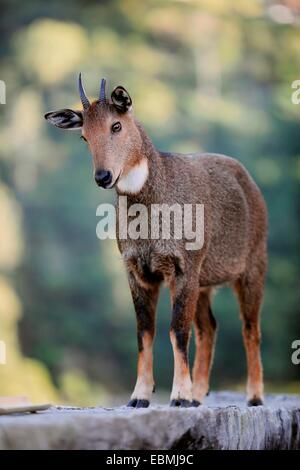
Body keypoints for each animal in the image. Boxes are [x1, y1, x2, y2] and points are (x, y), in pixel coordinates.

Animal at [45, 75, 268, 406]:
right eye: (83, 136)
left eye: (116, 125)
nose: (103, 176)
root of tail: (250, 182)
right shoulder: (137, 269)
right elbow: (145, 331)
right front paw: (139, 396)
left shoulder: (183, 265)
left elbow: (177, 330)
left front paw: (179, 395)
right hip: (204, 281)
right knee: (209, 327)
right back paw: (200, 394)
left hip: (253, 263)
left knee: (250, 327)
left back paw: (253, 396)